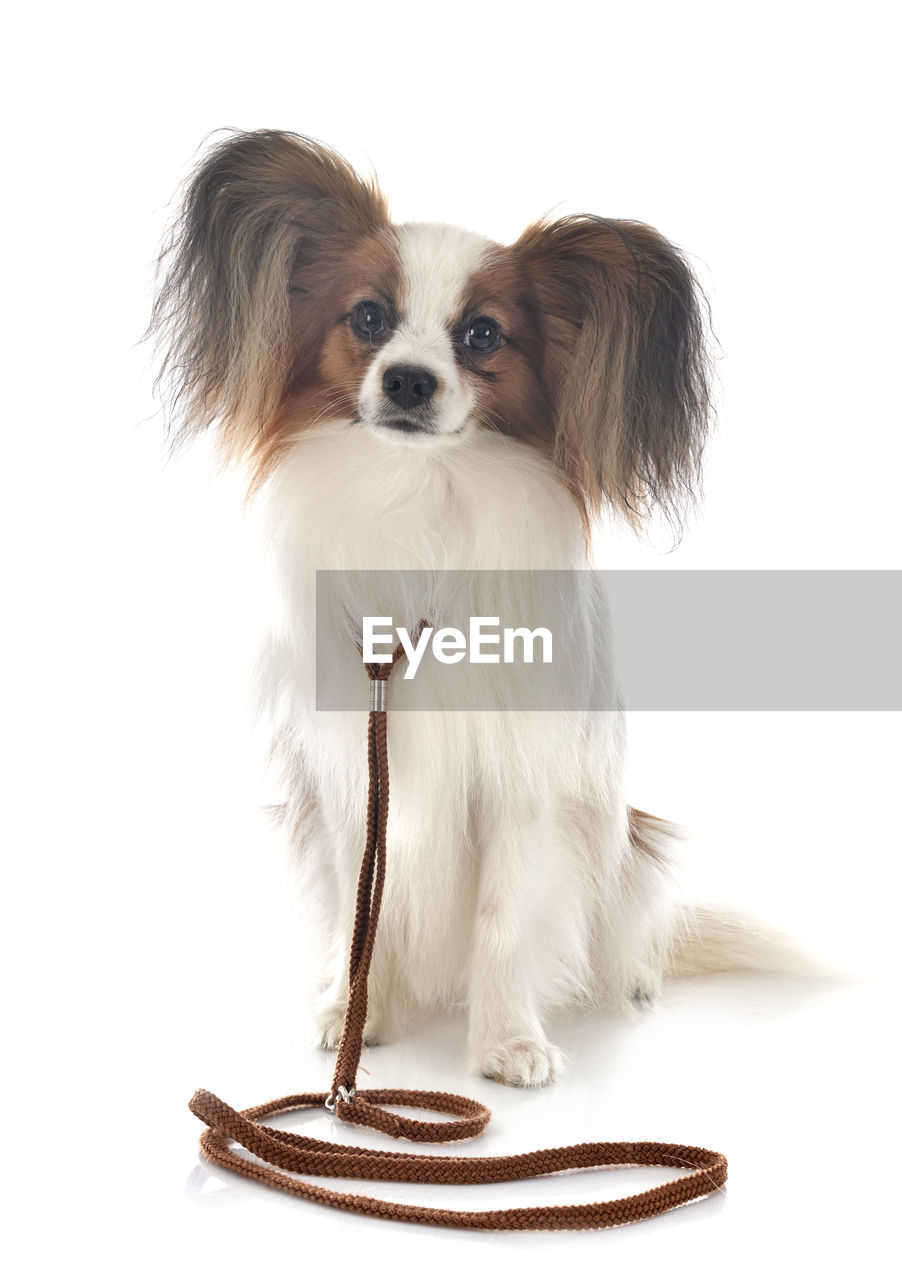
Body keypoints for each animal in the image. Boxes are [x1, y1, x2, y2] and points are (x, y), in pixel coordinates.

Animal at [150, 132, 798, 1090]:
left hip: (626, 840)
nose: (409, 382)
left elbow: (504, 921)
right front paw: (358, 1013)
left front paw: (508, 1043)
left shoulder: (520, 775)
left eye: (482, 335)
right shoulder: (352, 773)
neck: (417, 498)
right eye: (368, 319)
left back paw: (633, 981)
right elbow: (363, 906)